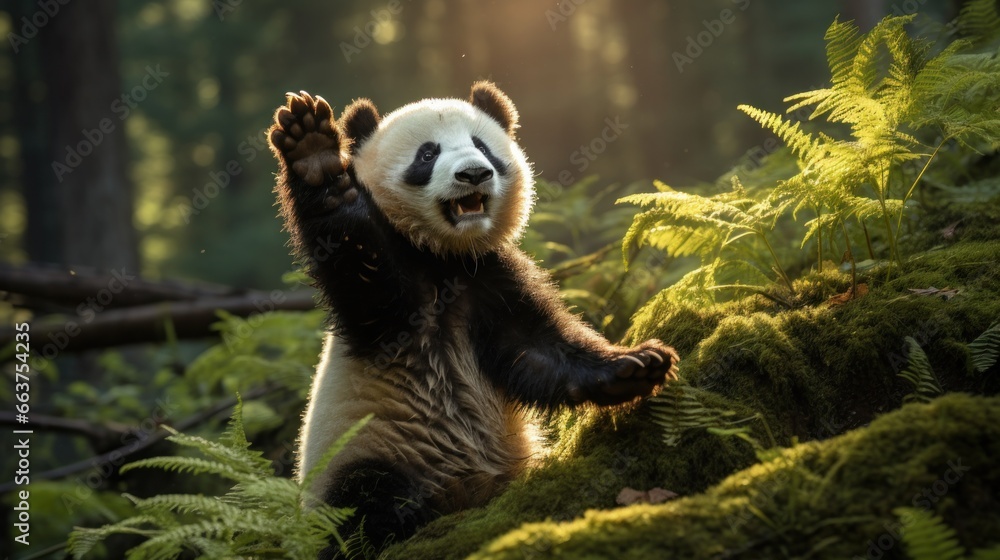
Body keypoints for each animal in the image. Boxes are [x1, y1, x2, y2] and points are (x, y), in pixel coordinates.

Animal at [266, 82, 680, 556]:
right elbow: (353, 249)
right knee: (364, 501)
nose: (474, 174)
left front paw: (636, 366)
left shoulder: (491, 279)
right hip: (370, 447)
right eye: (427, 154)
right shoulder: (389, 305)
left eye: (482, 146)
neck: (446, 256)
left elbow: (538, 349)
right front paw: (315, 154)